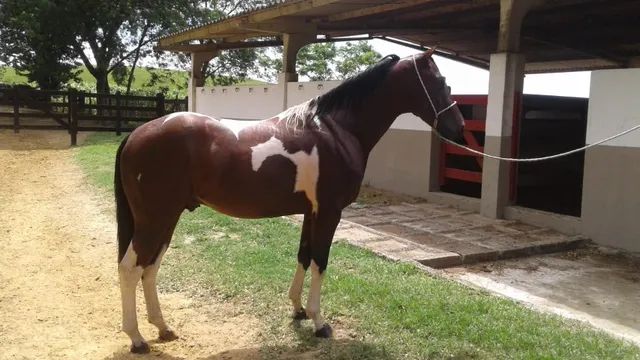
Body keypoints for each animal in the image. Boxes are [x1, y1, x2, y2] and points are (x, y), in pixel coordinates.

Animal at [116, 49, 464, 352]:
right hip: (155, 220)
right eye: (440, 82)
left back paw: (163, 327)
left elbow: (303, 256)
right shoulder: (329, 213)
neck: (335, 132)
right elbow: (320, 262)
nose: (459, 128)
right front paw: (319, 322)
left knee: (150, 267)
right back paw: (137, 339)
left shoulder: (311, 213)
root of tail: (136, 134)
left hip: (167, 219)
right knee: (131, 269)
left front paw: (297, 310)